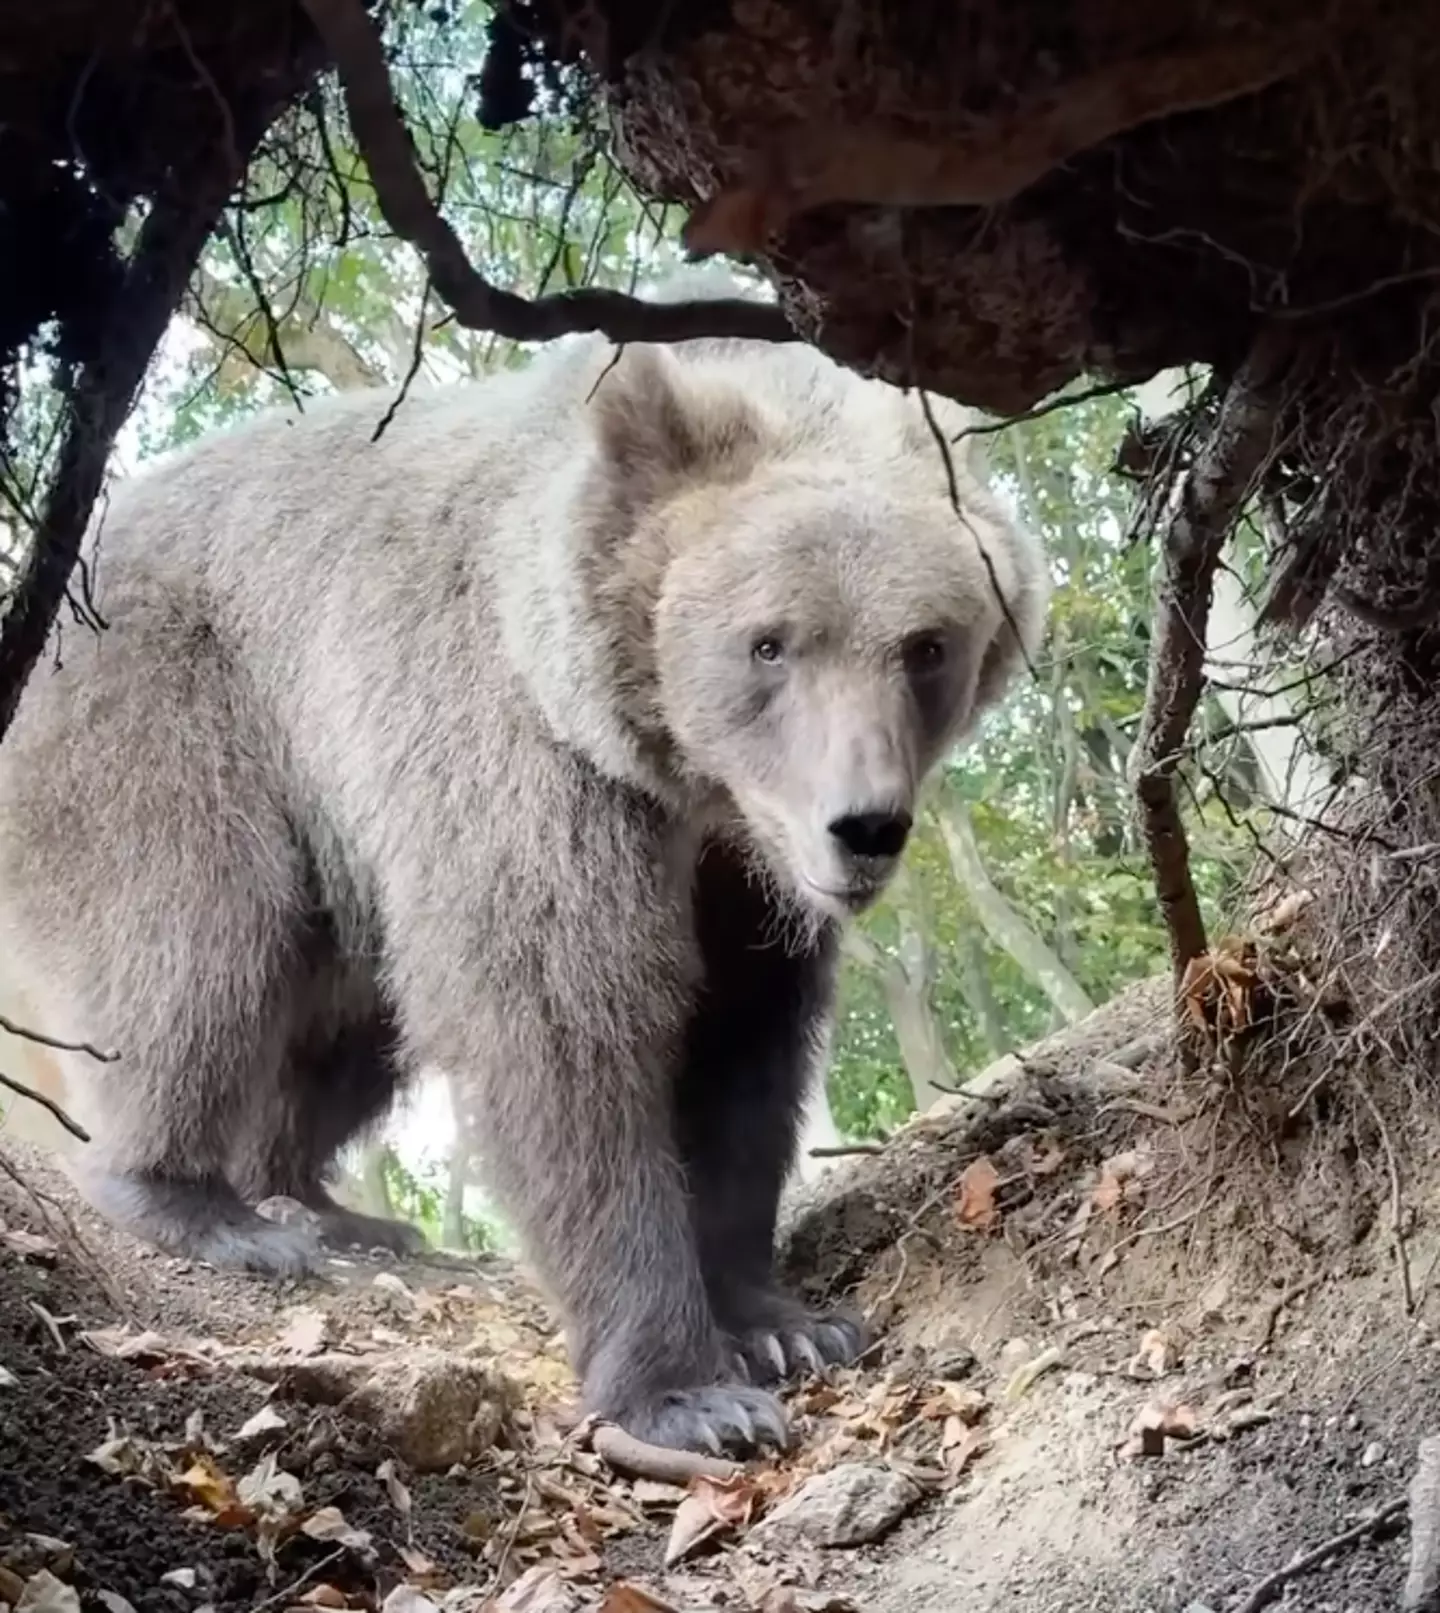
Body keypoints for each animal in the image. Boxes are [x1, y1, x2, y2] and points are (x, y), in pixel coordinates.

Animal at [0, 278, 1049, 1455]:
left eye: (926, 644)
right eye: (771, 642)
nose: (862, 827)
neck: (675, 772)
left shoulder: (739, 874)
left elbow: (744, 1045)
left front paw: (781, 1319)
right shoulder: (524, 758)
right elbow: (562, 1028)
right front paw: (690, 1393)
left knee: (348, 1022)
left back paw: (330, 1205)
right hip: (178, 706)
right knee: (198, 942)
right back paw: (200, 1205)